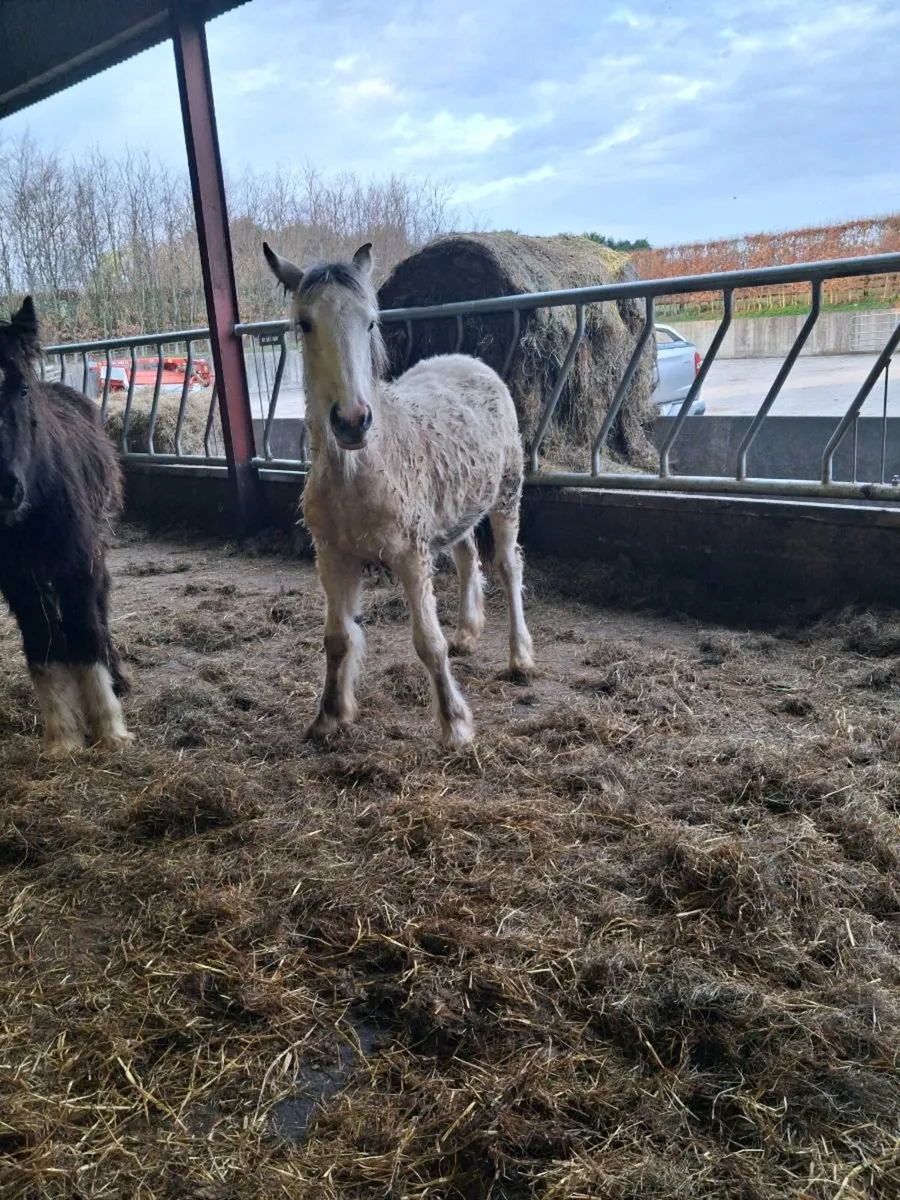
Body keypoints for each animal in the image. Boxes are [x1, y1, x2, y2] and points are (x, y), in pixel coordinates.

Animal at [0, 297, 132, 754]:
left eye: (21, 389)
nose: (7, 488)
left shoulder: (78, 565)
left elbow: (86, 632)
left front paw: (110, 729)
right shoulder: (20, 581)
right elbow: (41, 644)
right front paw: (63, 736)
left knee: (101, 610)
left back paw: (119, 678)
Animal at [263, 240, 534, 749]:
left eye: (370, 320)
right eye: (305, 323)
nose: (352, 421)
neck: (361, 470)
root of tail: (470, 361)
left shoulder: (410, 554)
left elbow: (428, 642)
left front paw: (455, 724)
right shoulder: (333, 556)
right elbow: (337, 638)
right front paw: (329, 716)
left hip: (507, 495)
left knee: (509, 567)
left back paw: (521, 657)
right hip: (455, 511)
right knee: (467, 556)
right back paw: (468, 632)